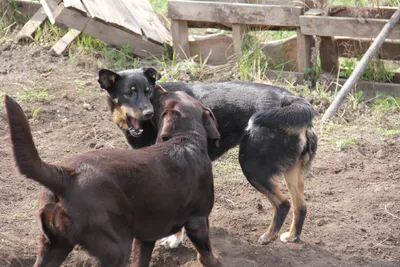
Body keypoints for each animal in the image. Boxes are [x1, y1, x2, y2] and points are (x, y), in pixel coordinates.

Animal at [4, 87, 222, 266]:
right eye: (165, 96)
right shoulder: (198, 222)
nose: (157, 87)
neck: (186, 138)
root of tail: (65, 176)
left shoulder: (145, 237)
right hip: (116, 247)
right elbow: (207, 256)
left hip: (54, 246)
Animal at [98, 68, 318, 247]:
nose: (147, 112)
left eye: (148, 91)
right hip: (291, 171)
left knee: (283, 204)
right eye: (129, 93)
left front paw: (174, 239)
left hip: (251, 166)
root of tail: (289, 99)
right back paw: (292, 236)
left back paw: (268, 236)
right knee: (301, 206)